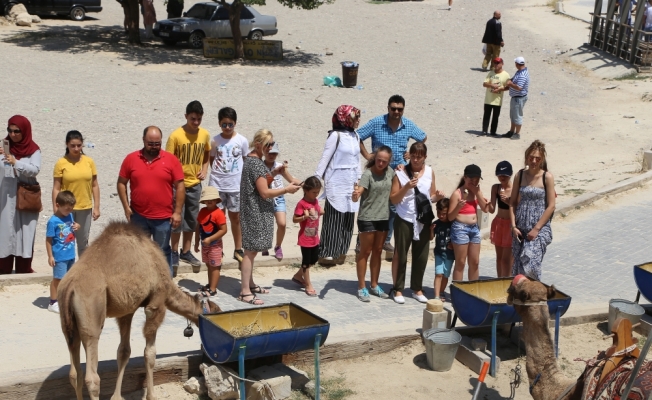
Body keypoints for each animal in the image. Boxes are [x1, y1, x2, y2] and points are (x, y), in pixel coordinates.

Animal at [56, 220, 219, 400]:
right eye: (216, 313)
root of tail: (70, 287)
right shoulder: (156, 303)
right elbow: (150, 353)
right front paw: (152, 396)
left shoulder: (126, 311)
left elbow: (123, 352)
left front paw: (117, 396)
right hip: (91, 315)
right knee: (92, 377)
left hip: (68, 324)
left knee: (74, 372)